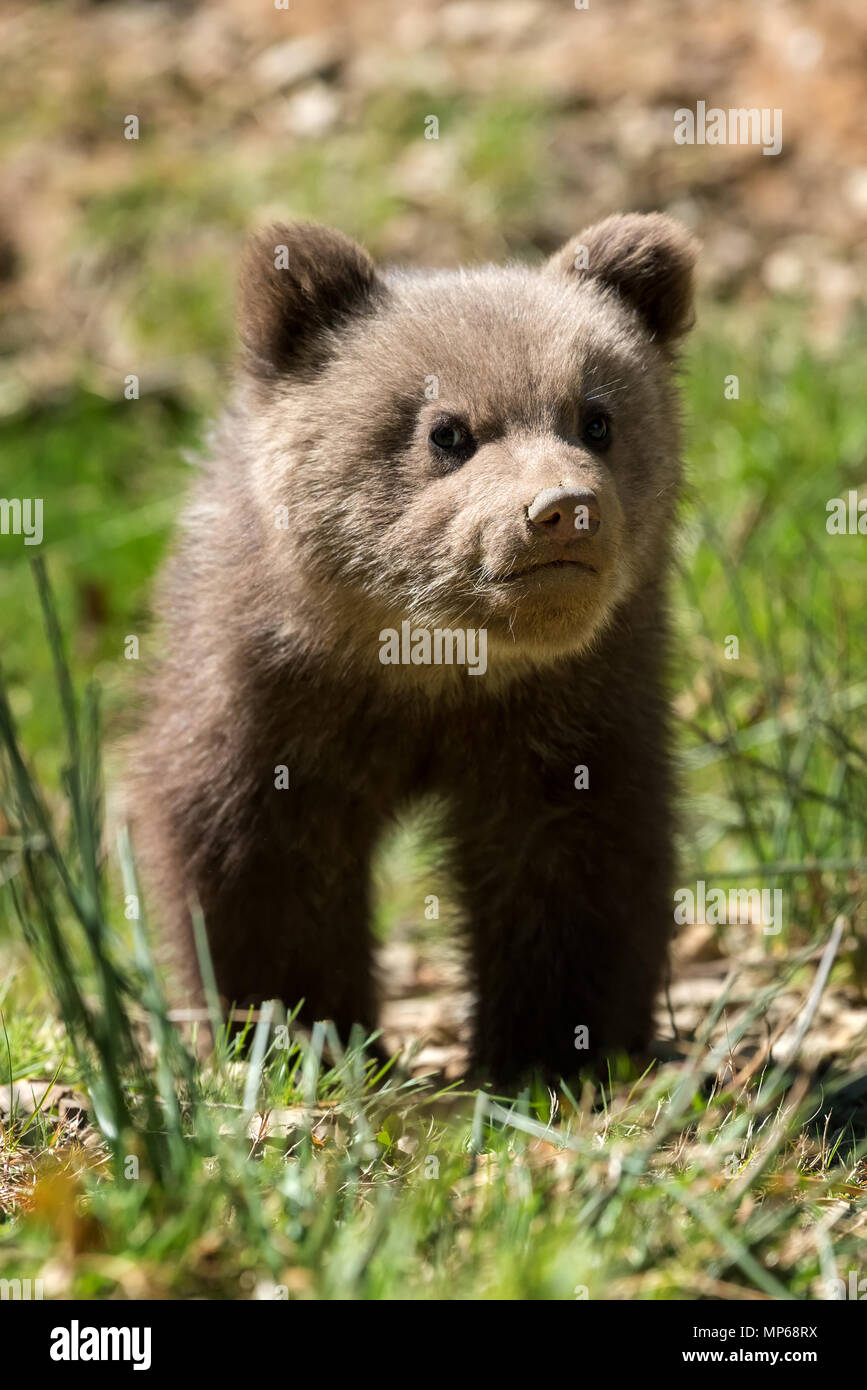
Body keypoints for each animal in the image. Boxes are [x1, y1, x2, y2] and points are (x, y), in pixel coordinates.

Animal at [128, 212, 698, 1086]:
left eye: (596, 418)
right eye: (448, 431)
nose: (562, 511)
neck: (430, 662)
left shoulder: (571, 707)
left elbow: (576, 859)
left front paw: (552, 1049)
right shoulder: (272, 700)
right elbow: (256, 862)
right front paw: (294, 1031)